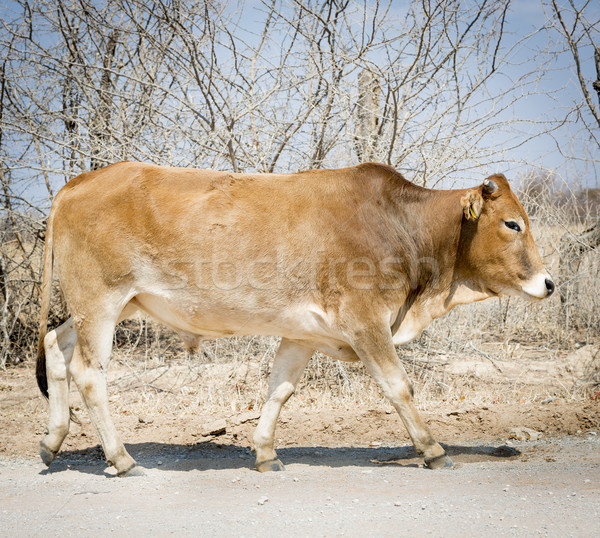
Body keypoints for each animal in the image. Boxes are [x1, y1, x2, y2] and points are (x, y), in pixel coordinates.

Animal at [36, 160, 552, 474]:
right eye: (512, 223)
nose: (548, 283)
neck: (400, 225)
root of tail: (78, 182)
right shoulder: (366, 321)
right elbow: (398, 386)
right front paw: (432, 449)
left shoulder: (303, 334)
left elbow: (278, 391)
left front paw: (265, 453)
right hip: (100, 303)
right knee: (89, 373)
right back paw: (121, 458)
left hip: (101, 307)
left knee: (55, 346)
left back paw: (53, 440)